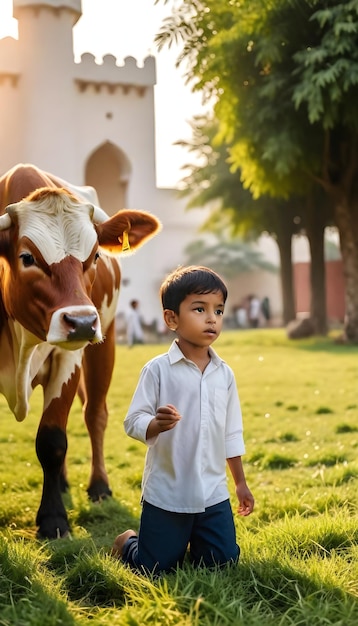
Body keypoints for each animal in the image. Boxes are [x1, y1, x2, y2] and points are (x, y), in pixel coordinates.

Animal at [0, 162, 161, 536]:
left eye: (95, 255)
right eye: (27, 257)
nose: (82, 321)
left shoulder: (67, 356)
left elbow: (52, 439)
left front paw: (53, 519)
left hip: (106, 343)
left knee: (94, 414)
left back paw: (98, 485)